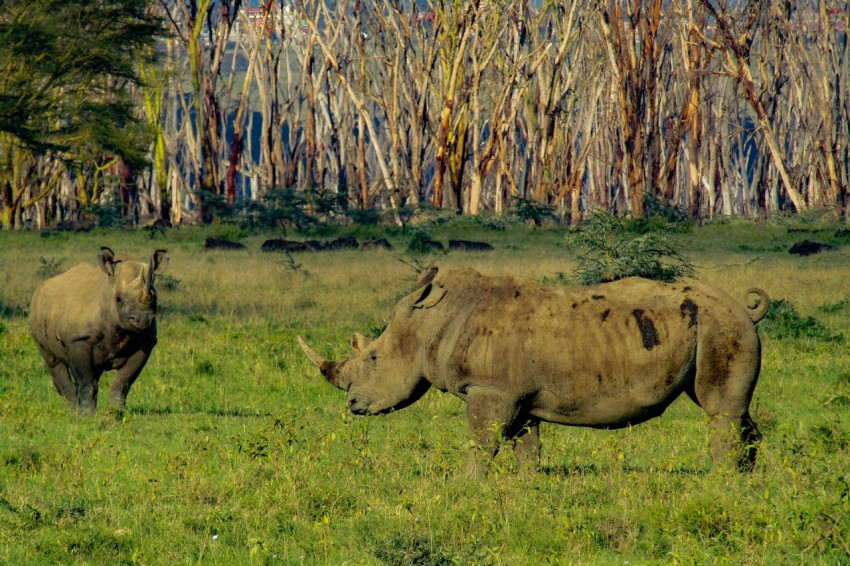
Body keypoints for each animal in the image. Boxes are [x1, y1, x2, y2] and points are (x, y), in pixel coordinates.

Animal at [29, 247, 168, 415]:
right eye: (118, 299)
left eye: (155, 298)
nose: (142, 320)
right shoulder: (79, 339)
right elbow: (86, 380)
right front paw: (87, 416)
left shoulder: (146, 342)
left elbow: (123, 381)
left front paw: (116, 412)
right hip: (37, 315)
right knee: (54, 361)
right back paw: (72, 411)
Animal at [298, 266, 770, 475]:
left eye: (373, 359)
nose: (353, 404)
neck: (432, 318)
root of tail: (743, 308)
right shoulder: (515, 394)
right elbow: (526, 444)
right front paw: (529, 486)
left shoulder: (489, 389)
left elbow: (483, 442)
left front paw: (467, 486)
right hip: (717, 325)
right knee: (735, 411)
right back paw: (747, 477)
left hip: (720, 325)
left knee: (719, 410)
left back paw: (719, 479)